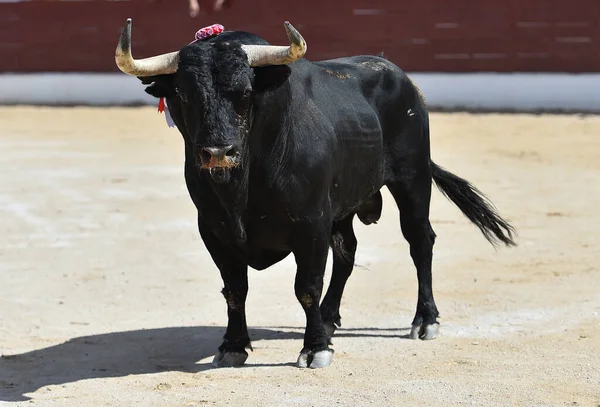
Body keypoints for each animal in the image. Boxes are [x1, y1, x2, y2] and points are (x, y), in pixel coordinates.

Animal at [120, 23, 516, 372]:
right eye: (184, 95)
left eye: (245, 91)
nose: (218, 152)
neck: (243, 186)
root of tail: (394, 71)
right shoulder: (214, 229)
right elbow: (234, 289)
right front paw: (232, 347)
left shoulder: (310, 224)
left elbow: (306, 287)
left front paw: (314, 350)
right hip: (342, 206)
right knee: (347, 252)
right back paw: (328, 318)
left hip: (413, 178)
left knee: (420, 242)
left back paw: (425, 321)